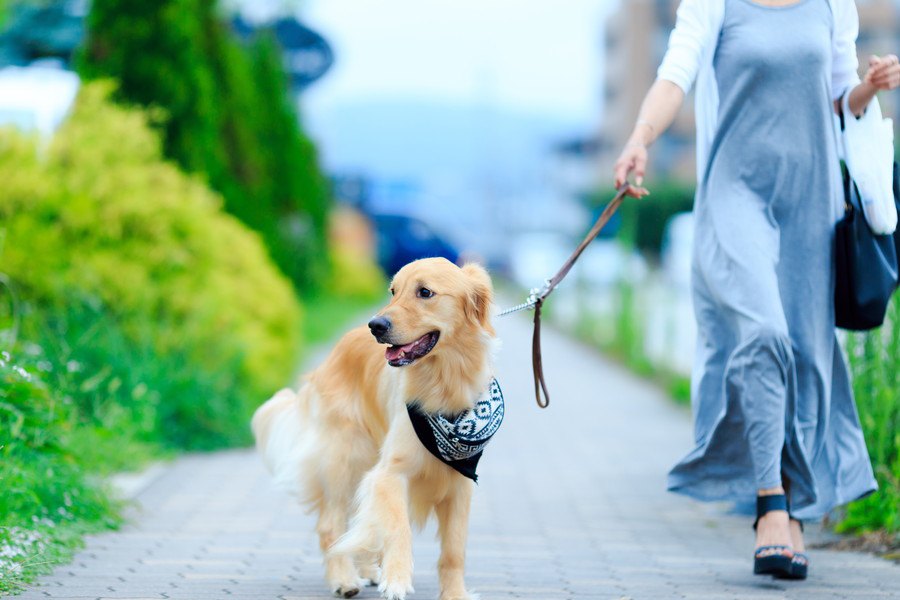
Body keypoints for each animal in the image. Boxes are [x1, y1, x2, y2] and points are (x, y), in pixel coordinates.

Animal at [253, 258, 502, 600]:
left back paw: (368, 571)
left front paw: (454, 594)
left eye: (425, 292)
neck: (443, 383)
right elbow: (397, 527)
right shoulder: (390, 473)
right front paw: (396, 580)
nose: (376, 325)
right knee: (332, 526)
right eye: (393, 291)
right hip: (346, 458)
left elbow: (454, 551)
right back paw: (344, 579)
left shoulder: (460, 485)